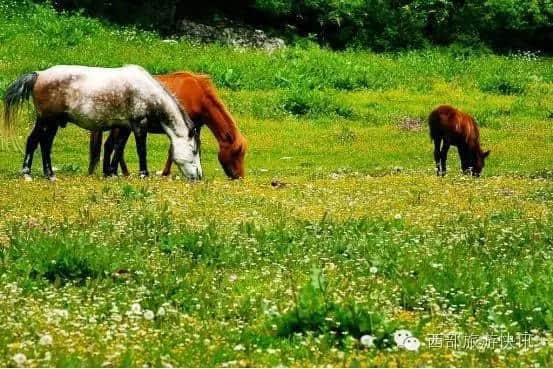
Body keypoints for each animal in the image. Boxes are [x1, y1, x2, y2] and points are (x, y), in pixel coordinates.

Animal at [3, 67, 202, 182]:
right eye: (193, 151)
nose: (199, 176)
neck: (148, 93)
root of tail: (39, 75)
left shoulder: (125, 127)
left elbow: (118, 148)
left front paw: (112, 173)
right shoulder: (139, 125)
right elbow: (141, 150)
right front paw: (143, 174)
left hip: (51, 123)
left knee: (42, 144)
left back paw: (46, 174)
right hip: (47, 120)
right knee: (36, 142)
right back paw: (30, 174)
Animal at [88, 71, 246, 178]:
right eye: (237, 153)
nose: (240, 177)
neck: (198, 96)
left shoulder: (195, 128)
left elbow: (197, 148)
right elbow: (172, 151)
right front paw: (166, 172)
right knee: (112, 146)